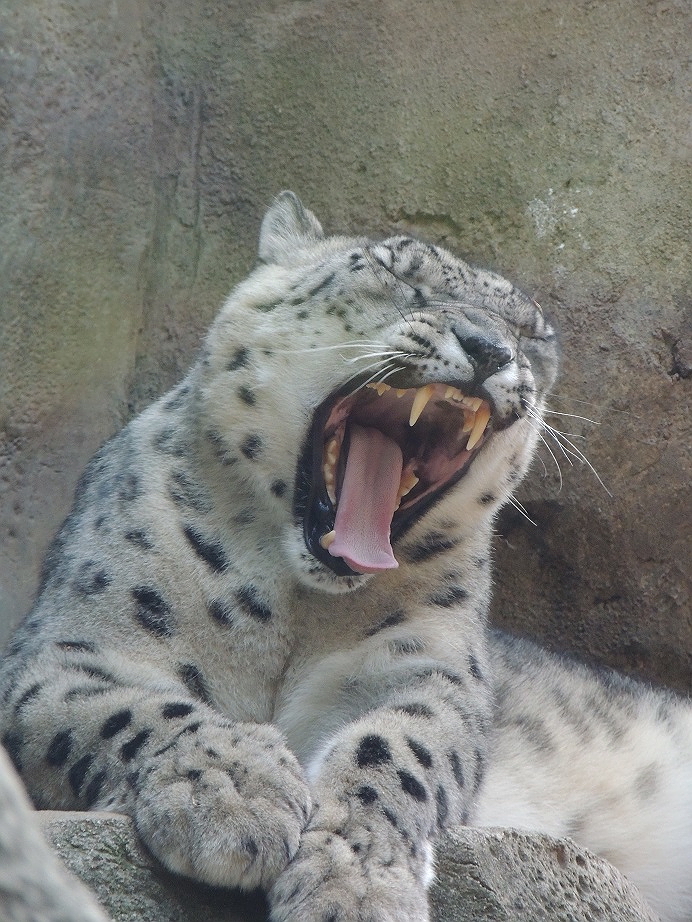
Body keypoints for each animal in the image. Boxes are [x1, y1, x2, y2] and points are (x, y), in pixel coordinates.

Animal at [1, 192, 690, 922]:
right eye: (395, 270)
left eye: (531, 334)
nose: (489, 347)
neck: (293, 606)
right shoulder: (72, 645)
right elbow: (131, 707)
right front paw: (233, 792)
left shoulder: (424, 667)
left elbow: (394, 749)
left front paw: (356, 884)